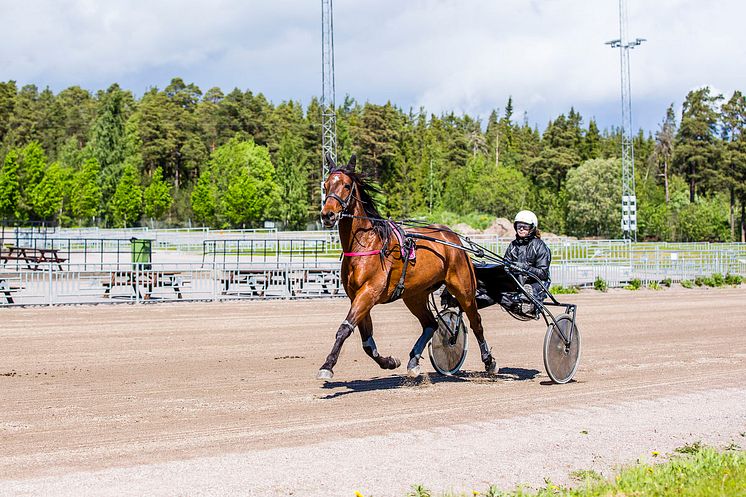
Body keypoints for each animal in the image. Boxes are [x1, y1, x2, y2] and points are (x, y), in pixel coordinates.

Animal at [314, 155, 494, 380]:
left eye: (346, 185)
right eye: (325, 185)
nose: (327, 215)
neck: (366, 243)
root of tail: (452, 236)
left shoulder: (369, 292)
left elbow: (345, 329)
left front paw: (327, 366)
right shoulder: (357, 296)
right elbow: (366, 342)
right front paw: (390, 362)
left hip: (464, 288)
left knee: (476, 322)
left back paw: (489, 361)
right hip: (414, 295)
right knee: (431, 324)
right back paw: (414, 361)